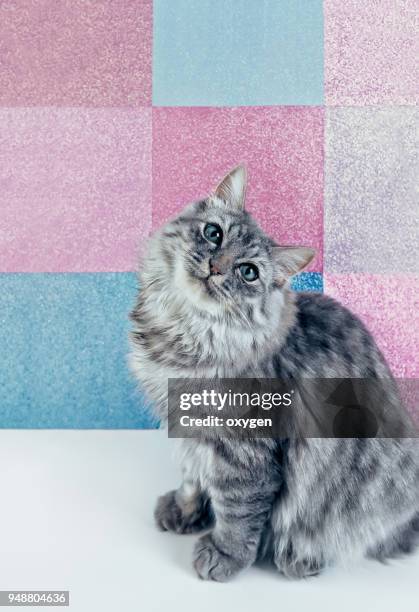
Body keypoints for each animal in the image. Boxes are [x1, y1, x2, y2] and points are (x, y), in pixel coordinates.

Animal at [129, 165, 419, 580]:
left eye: (248, 272)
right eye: (214, 233)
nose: (215, 268)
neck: (184, 335)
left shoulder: (245, 450)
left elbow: (237, 512)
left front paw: (224, 555)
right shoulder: (187, 429)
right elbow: (191, 477)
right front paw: (185, 511)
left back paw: (299, 557)